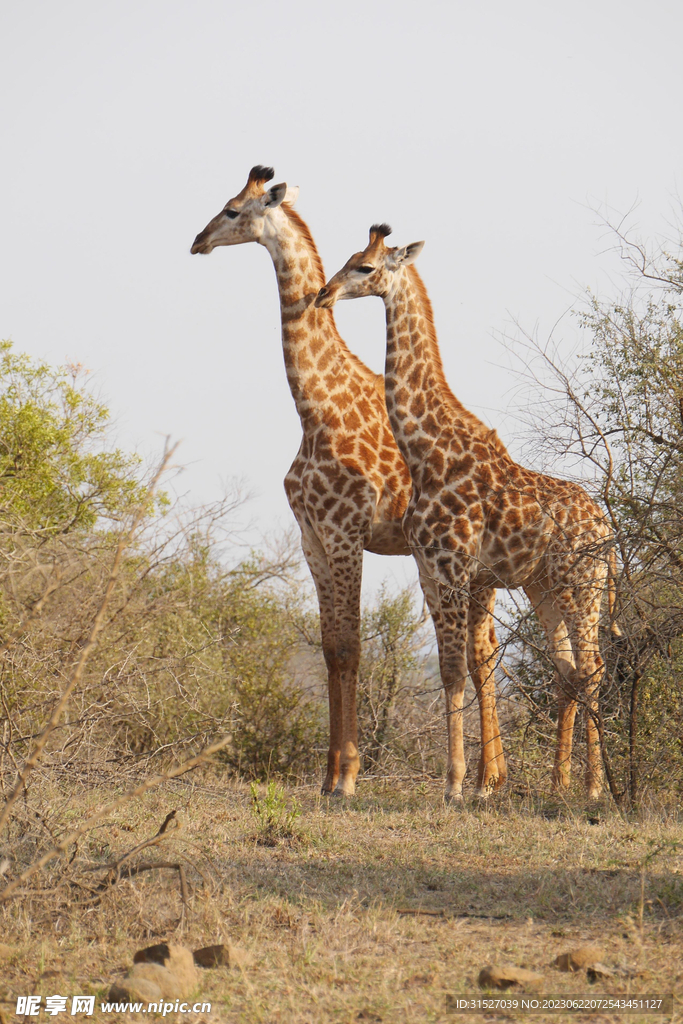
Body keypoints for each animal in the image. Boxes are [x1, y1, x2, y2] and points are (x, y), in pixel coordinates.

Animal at [189, 167, 505, 794]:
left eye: (233, 210)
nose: (197, 241)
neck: (313, 408)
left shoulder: (345, 533)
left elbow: (354, 648)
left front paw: (350, 776)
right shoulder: (312, 537)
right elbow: (332, 648)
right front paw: (329, 774)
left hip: (468, 567)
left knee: (481, 650)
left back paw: (484, 779)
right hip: (445, 566)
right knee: (481, 646)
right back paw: (493, 774)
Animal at [317, 224, 618, 798]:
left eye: (365, 267)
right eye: (347, 258)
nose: (323, 293)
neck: (427, 451)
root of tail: (608, 530)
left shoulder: (454, 566)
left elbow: (457, 670)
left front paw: (456, 785)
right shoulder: (429, 569)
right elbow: (448, 668)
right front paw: (472, 784)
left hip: (583, 585)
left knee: (592, 667)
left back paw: (594, 788)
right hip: (545, 587)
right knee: (568, 670)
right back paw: (558, 785)